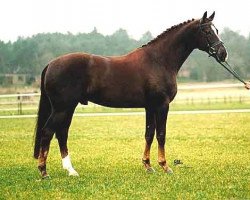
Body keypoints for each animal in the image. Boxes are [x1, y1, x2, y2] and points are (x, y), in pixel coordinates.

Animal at [32, 11, 227, 178]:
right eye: (207, 31)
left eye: (217, 30)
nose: (223, 53)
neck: (159, 60)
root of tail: (50, 64)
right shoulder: (161, 105)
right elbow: (161, 134)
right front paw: (165, 166)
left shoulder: (150, 107)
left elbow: (149, 133)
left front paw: (148, 165)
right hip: (62, 108)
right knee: (47, 132)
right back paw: (43, 171)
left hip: (67, 108)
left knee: (61, 133)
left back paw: (70, 170)